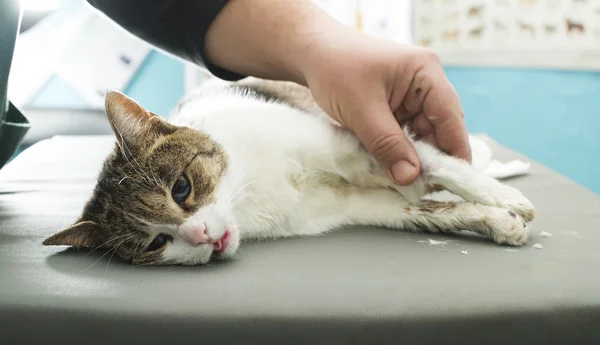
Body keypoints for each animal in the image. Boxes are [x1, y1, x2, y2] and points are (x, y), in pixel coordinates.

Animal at [44, 77, 536, 264]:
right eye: (156, 243)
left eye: (181, 188)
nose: (201, 237)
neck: (248, 189)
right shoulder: (359, 205)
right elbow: (431, 213)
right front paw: (497, 221)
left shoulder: (356, 143)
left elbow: (437, 164)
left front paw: (505, 200)